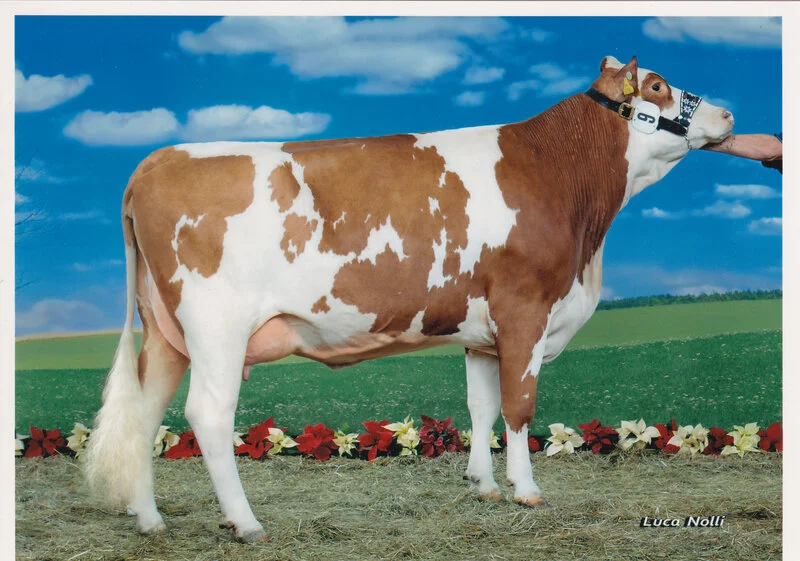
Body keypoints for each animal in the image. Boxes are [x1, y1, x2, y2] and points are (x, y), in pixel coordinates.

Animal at [84, 56, 734, 542]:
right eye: (657, 85)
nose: (728, 111)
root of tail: (157, 159)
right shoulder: (525, 309)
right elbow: (519, 407)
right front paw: (526, 491)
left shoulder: (482, 332)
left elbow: (481, 406)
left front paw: (484, 485)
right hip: (216, 326)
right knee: (208, 417)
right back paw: (245, 523)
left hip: (164, 332)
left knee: (144, 414)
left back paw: (150, 520)